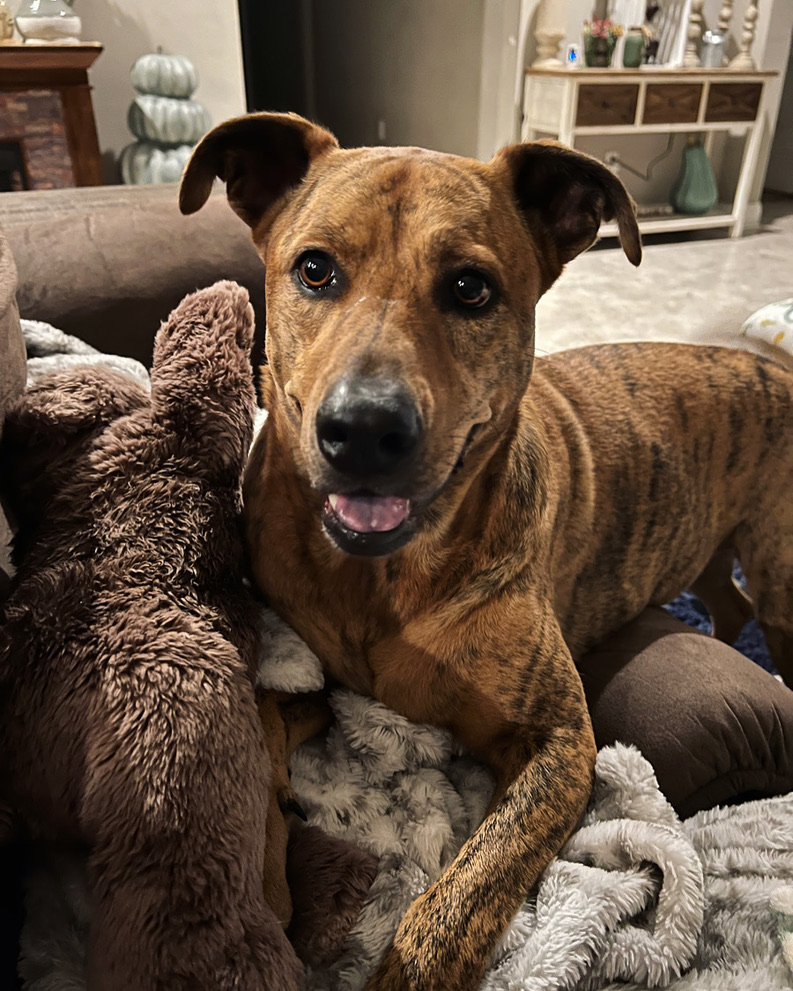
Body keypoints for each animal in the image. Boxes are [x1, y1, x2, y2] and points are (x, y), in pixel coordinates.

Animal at [179, 110, 792, 991]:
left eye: (470, 288)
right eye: (314, 269)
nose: (363, 429)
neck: (381, 580)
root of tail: (765, 365)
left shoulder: (560, 744)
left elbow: (458, 896)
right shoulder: (306, 668)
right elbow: (258, 725)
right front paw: (257, 885)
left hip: (776, 566)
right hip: (710, 548)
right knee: (726, 598)